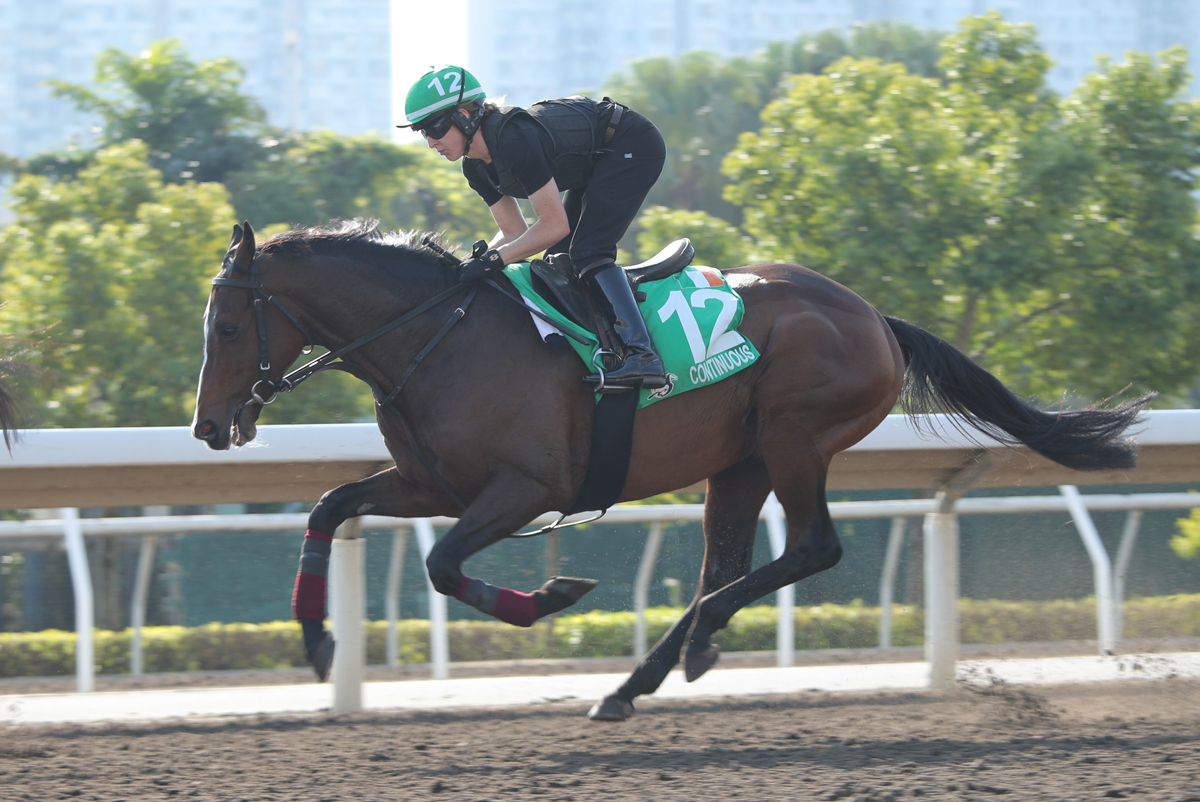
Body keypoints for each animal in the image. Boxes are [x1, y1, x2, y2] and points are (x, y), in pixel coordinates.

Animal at [192, 217, 1147, 720]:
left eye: (229, 327)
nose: (206, 427)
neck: (439, 335)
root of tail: (874, 315)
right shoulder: (435, 484)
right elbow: (330, 504)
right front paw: (317, 640)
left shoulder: (525, 490)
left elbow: (442, 564)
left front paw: (552, 596)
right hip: (741, 461)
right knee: (725, 565)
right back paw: (649, 673)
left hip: (795, 437)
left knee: (812, 550)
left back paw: (685, 650)